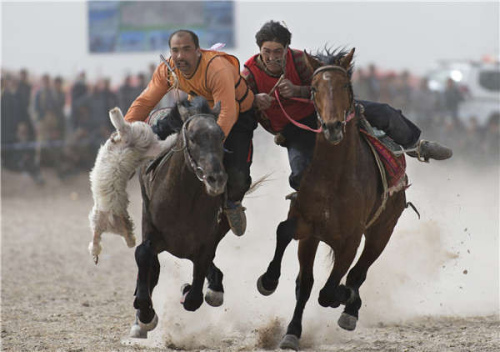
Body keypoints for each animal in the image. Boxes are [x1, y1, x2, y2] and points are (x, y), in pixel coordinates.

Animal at [258, 48, 406, 350]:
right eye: (314, 88)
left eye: (346, 86)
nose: (333, 127)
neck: (334, 179)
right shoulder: (308, 230)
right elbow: (303, 280)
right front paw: (290, 327)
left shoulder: (351, 240)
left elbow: (329, 291)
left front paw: (347, 298)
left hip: (382, 231)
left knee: (358, 272)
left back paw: (350, 308)